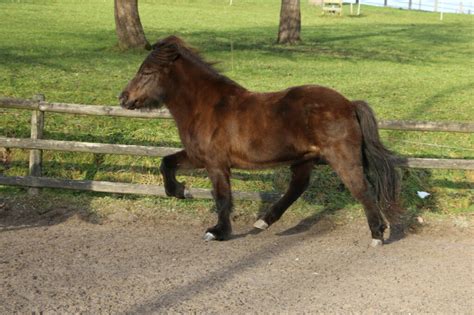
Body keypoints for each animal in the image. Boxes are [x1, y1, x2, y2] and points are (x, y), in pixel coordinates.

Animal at [118, 35, 400, 247]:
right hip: (304, 159)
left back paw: (377, 234)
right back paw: (264, 221)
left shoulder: (215, 163)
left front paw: (218, 231)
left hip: (342, 158)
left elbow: (222, 196)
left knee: (362, 189)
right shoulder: (198, 156)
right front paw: (178, 191)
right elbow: (166, 162)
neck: (206, 106)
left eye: (147, 72)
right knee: (297, 187)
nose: (123, 98)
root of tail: (349, 104)